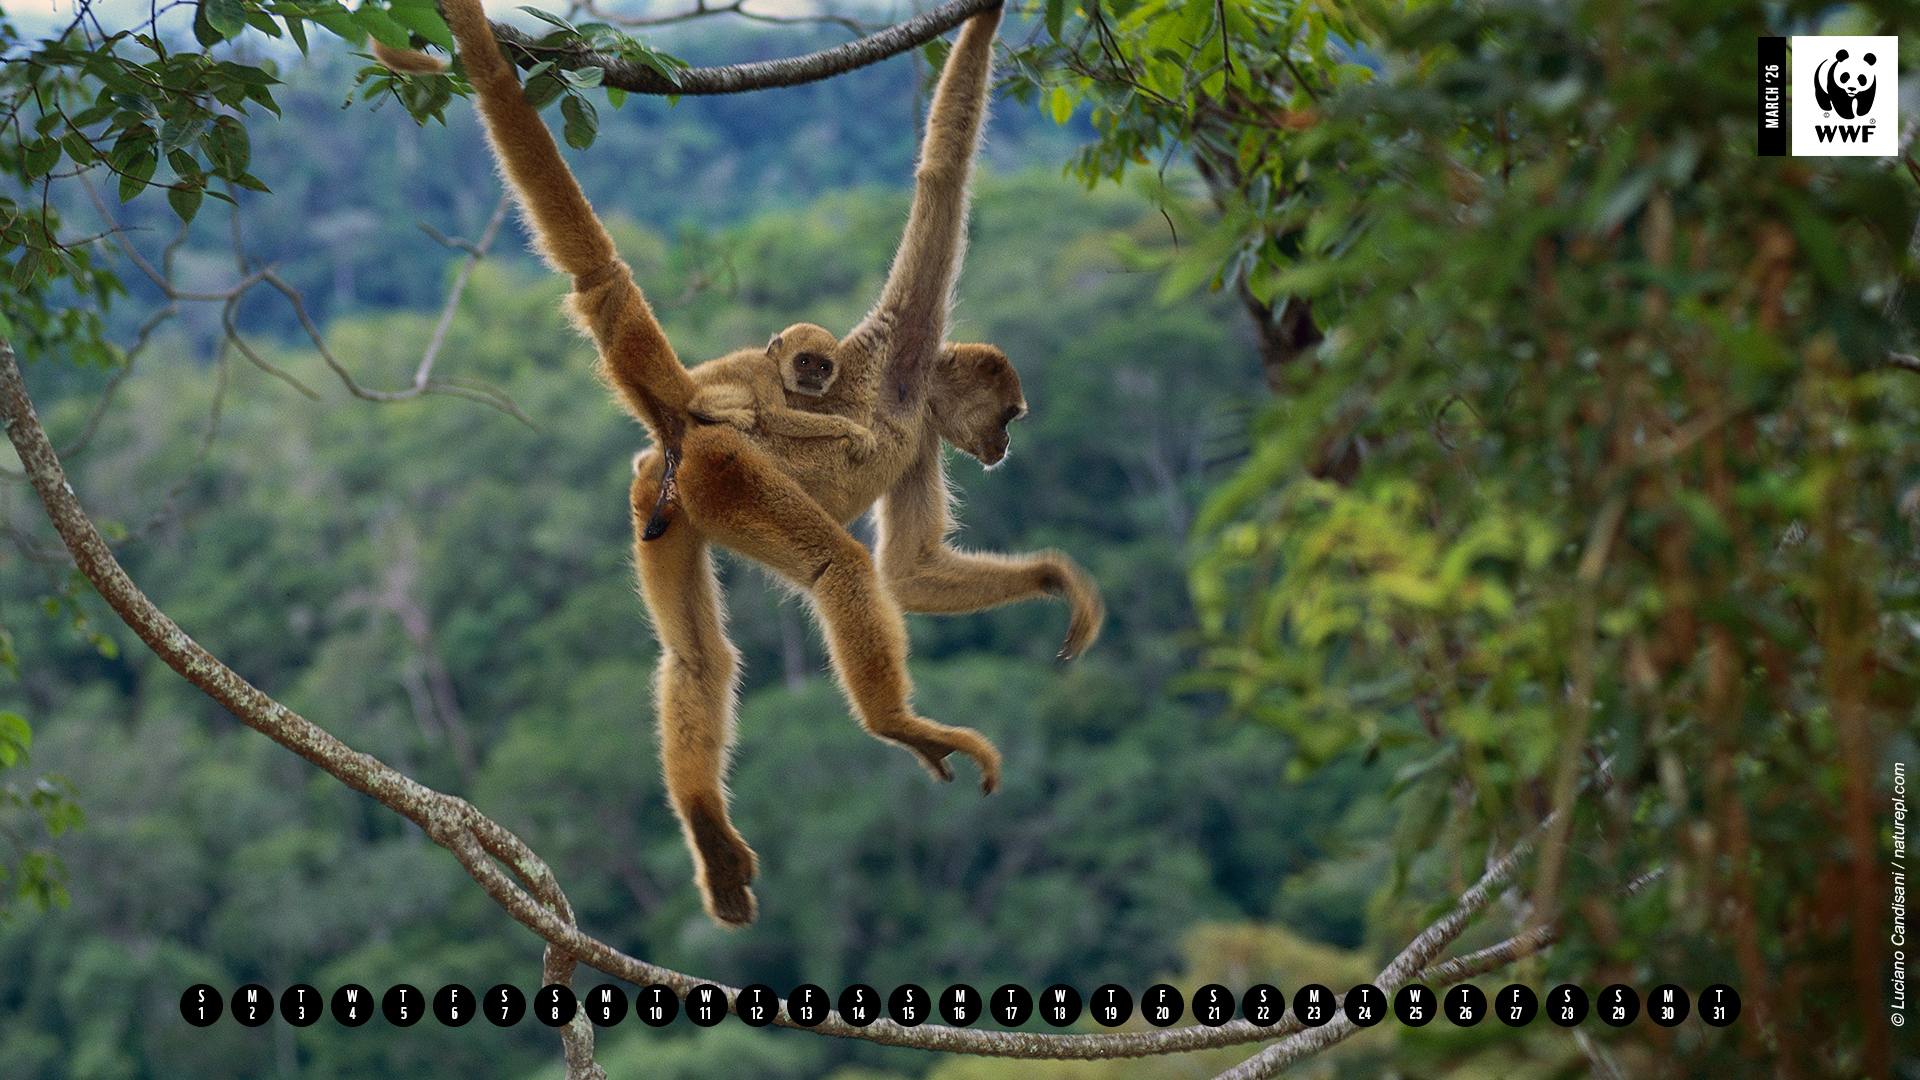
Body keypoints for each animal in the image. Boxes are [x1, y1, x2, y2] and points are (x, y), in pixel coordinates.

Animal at [389, 0, 1102, 926]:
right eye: (1010, 414)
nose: (1006, 446)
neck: (913, 403)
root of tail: (684, 424)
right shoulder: (907, 344)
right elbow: (943, 175)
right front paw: (982, 21)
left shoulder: (920, 445)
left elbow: (912, 571)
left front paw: (1055, 580)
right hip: (731, 475)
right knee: (839, 568)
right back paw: (898, 727)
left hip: (665, 501)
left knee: (699, 661)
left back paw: (707, 825)